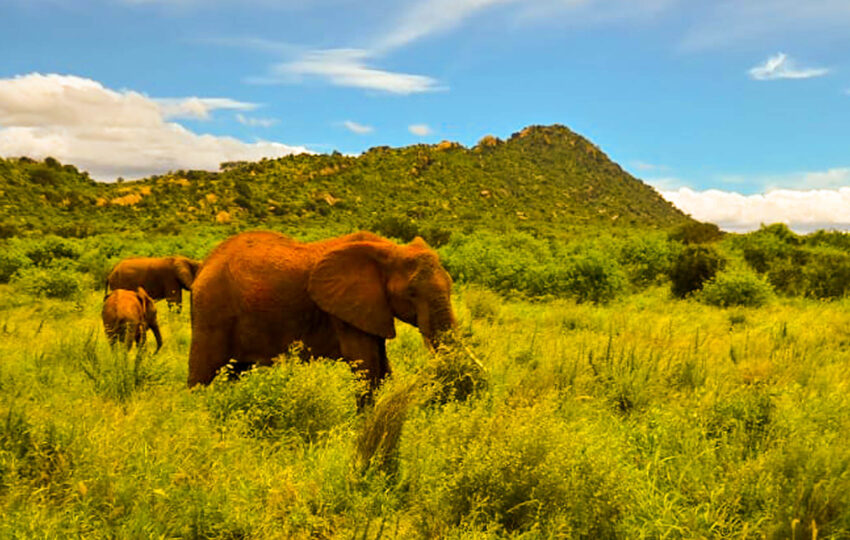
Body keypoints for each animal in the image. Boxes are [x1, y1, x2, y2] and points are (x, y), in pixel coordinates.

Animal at [188, 230, 457, 391]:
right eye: (411, 293)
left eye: (451, 284)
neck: (389, 249)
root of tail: (204, 264)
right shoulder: (345, 311)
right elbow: (366, 367)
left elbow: (382, 368)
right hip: (211, 309)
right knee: (203, 374)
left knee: (234, 371)